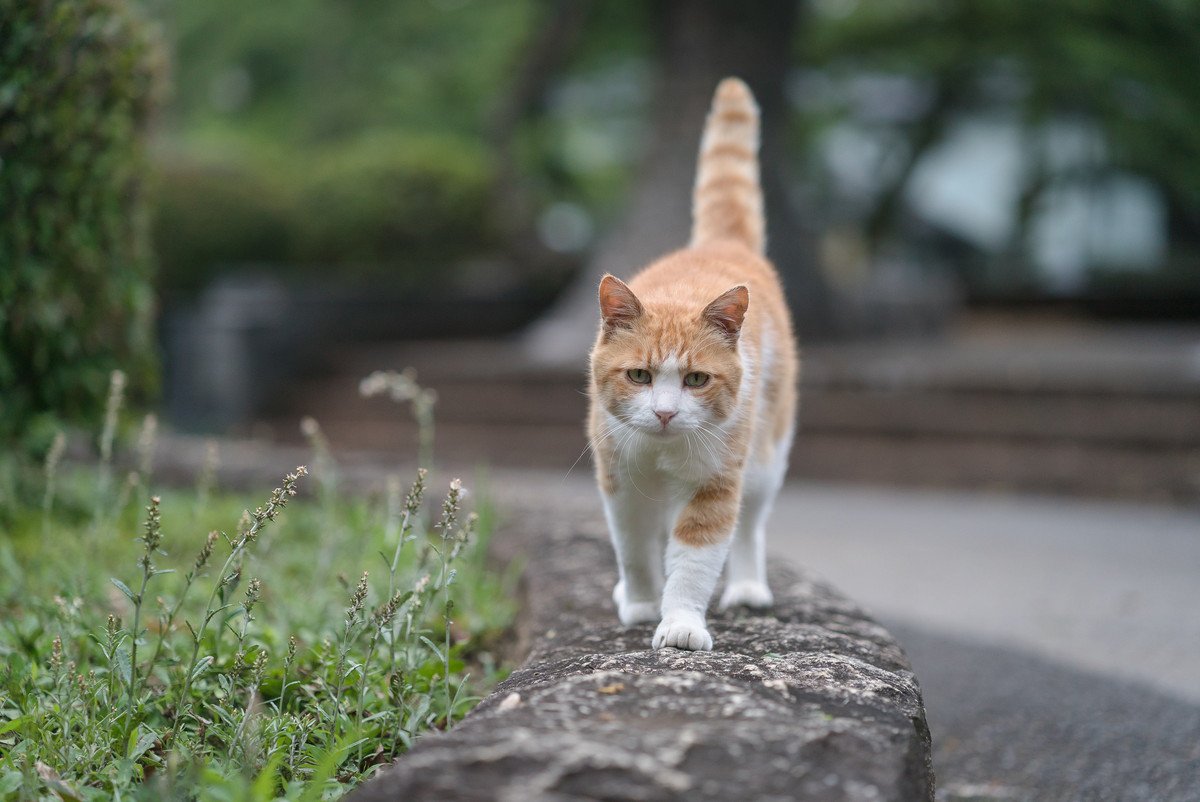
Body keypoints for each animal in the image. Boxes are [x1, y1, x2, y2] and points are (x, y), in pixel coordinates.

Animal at [588, 76, 796, 653]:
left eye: (697, 379)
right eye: (639, 375)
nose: (663, 413)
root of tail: (720, 243)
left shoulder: (714, 486)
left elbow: (693, 563)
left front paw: (679, 623)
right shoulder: (620, 483)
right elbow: (634, 551)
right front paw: (640, 603)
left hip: (765, 460)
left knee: (749, 528)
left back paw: (747, 588)